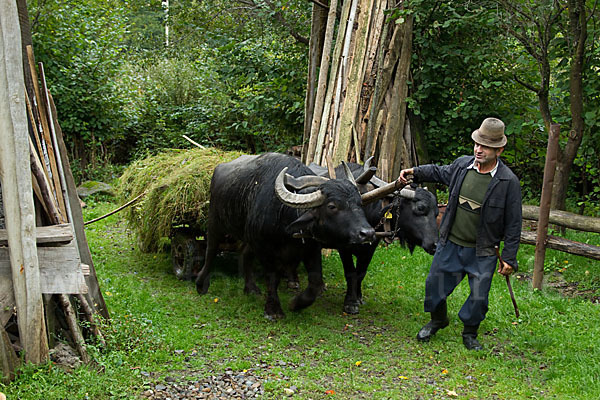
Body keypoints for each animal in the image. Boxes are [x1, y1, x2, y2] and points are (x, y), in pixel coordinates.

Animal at [196, 152, 376, 318]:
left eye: (360, 203)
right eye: (332, 206)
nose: (368, 233)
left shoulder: (311, 248)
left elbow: (315, 282)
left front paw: (296, 304)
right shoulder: (265, 249)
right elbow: (272, 277)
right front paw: (273, 309)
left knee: (245, 254)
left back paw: (251, 288)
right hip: (215, 222)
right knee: (211, 250)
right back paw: (201, 284)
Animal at [308, 161, 438, 314]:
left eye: (436, 213)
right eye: (420, 208)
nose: (435, 245)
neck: (367, 211)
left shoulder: (371, 247)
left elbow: (361, 273)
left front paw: (358, 297)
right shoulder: (343, 246)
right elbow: (351, 272)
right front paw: (350, 303)